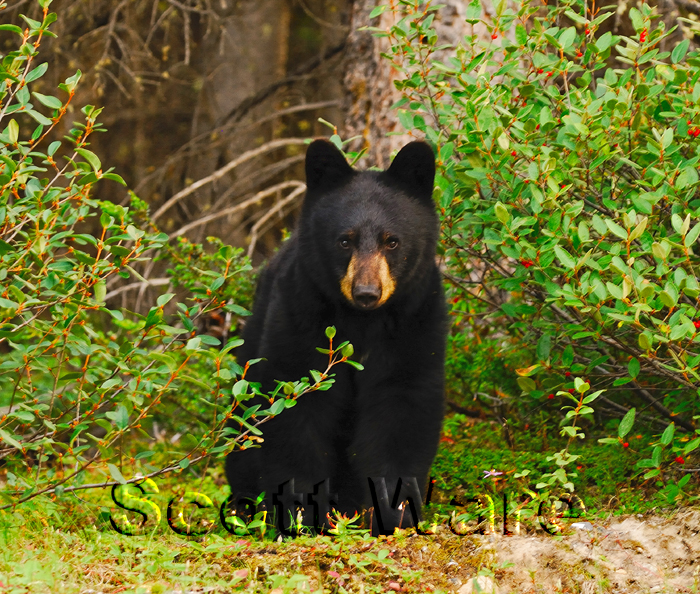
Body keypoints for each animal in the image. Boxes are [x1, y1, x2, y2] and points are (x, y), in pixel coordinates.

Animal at [224, 139, 446, 535]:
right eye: (345, 240)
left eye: (392, 241)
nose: (367, 292)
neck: (363, 322)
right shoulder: (301, 315)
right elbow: (297, 409)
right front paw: (301, 515)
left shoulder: (414, 323)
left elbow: (401, 408)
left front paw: (394, 514)